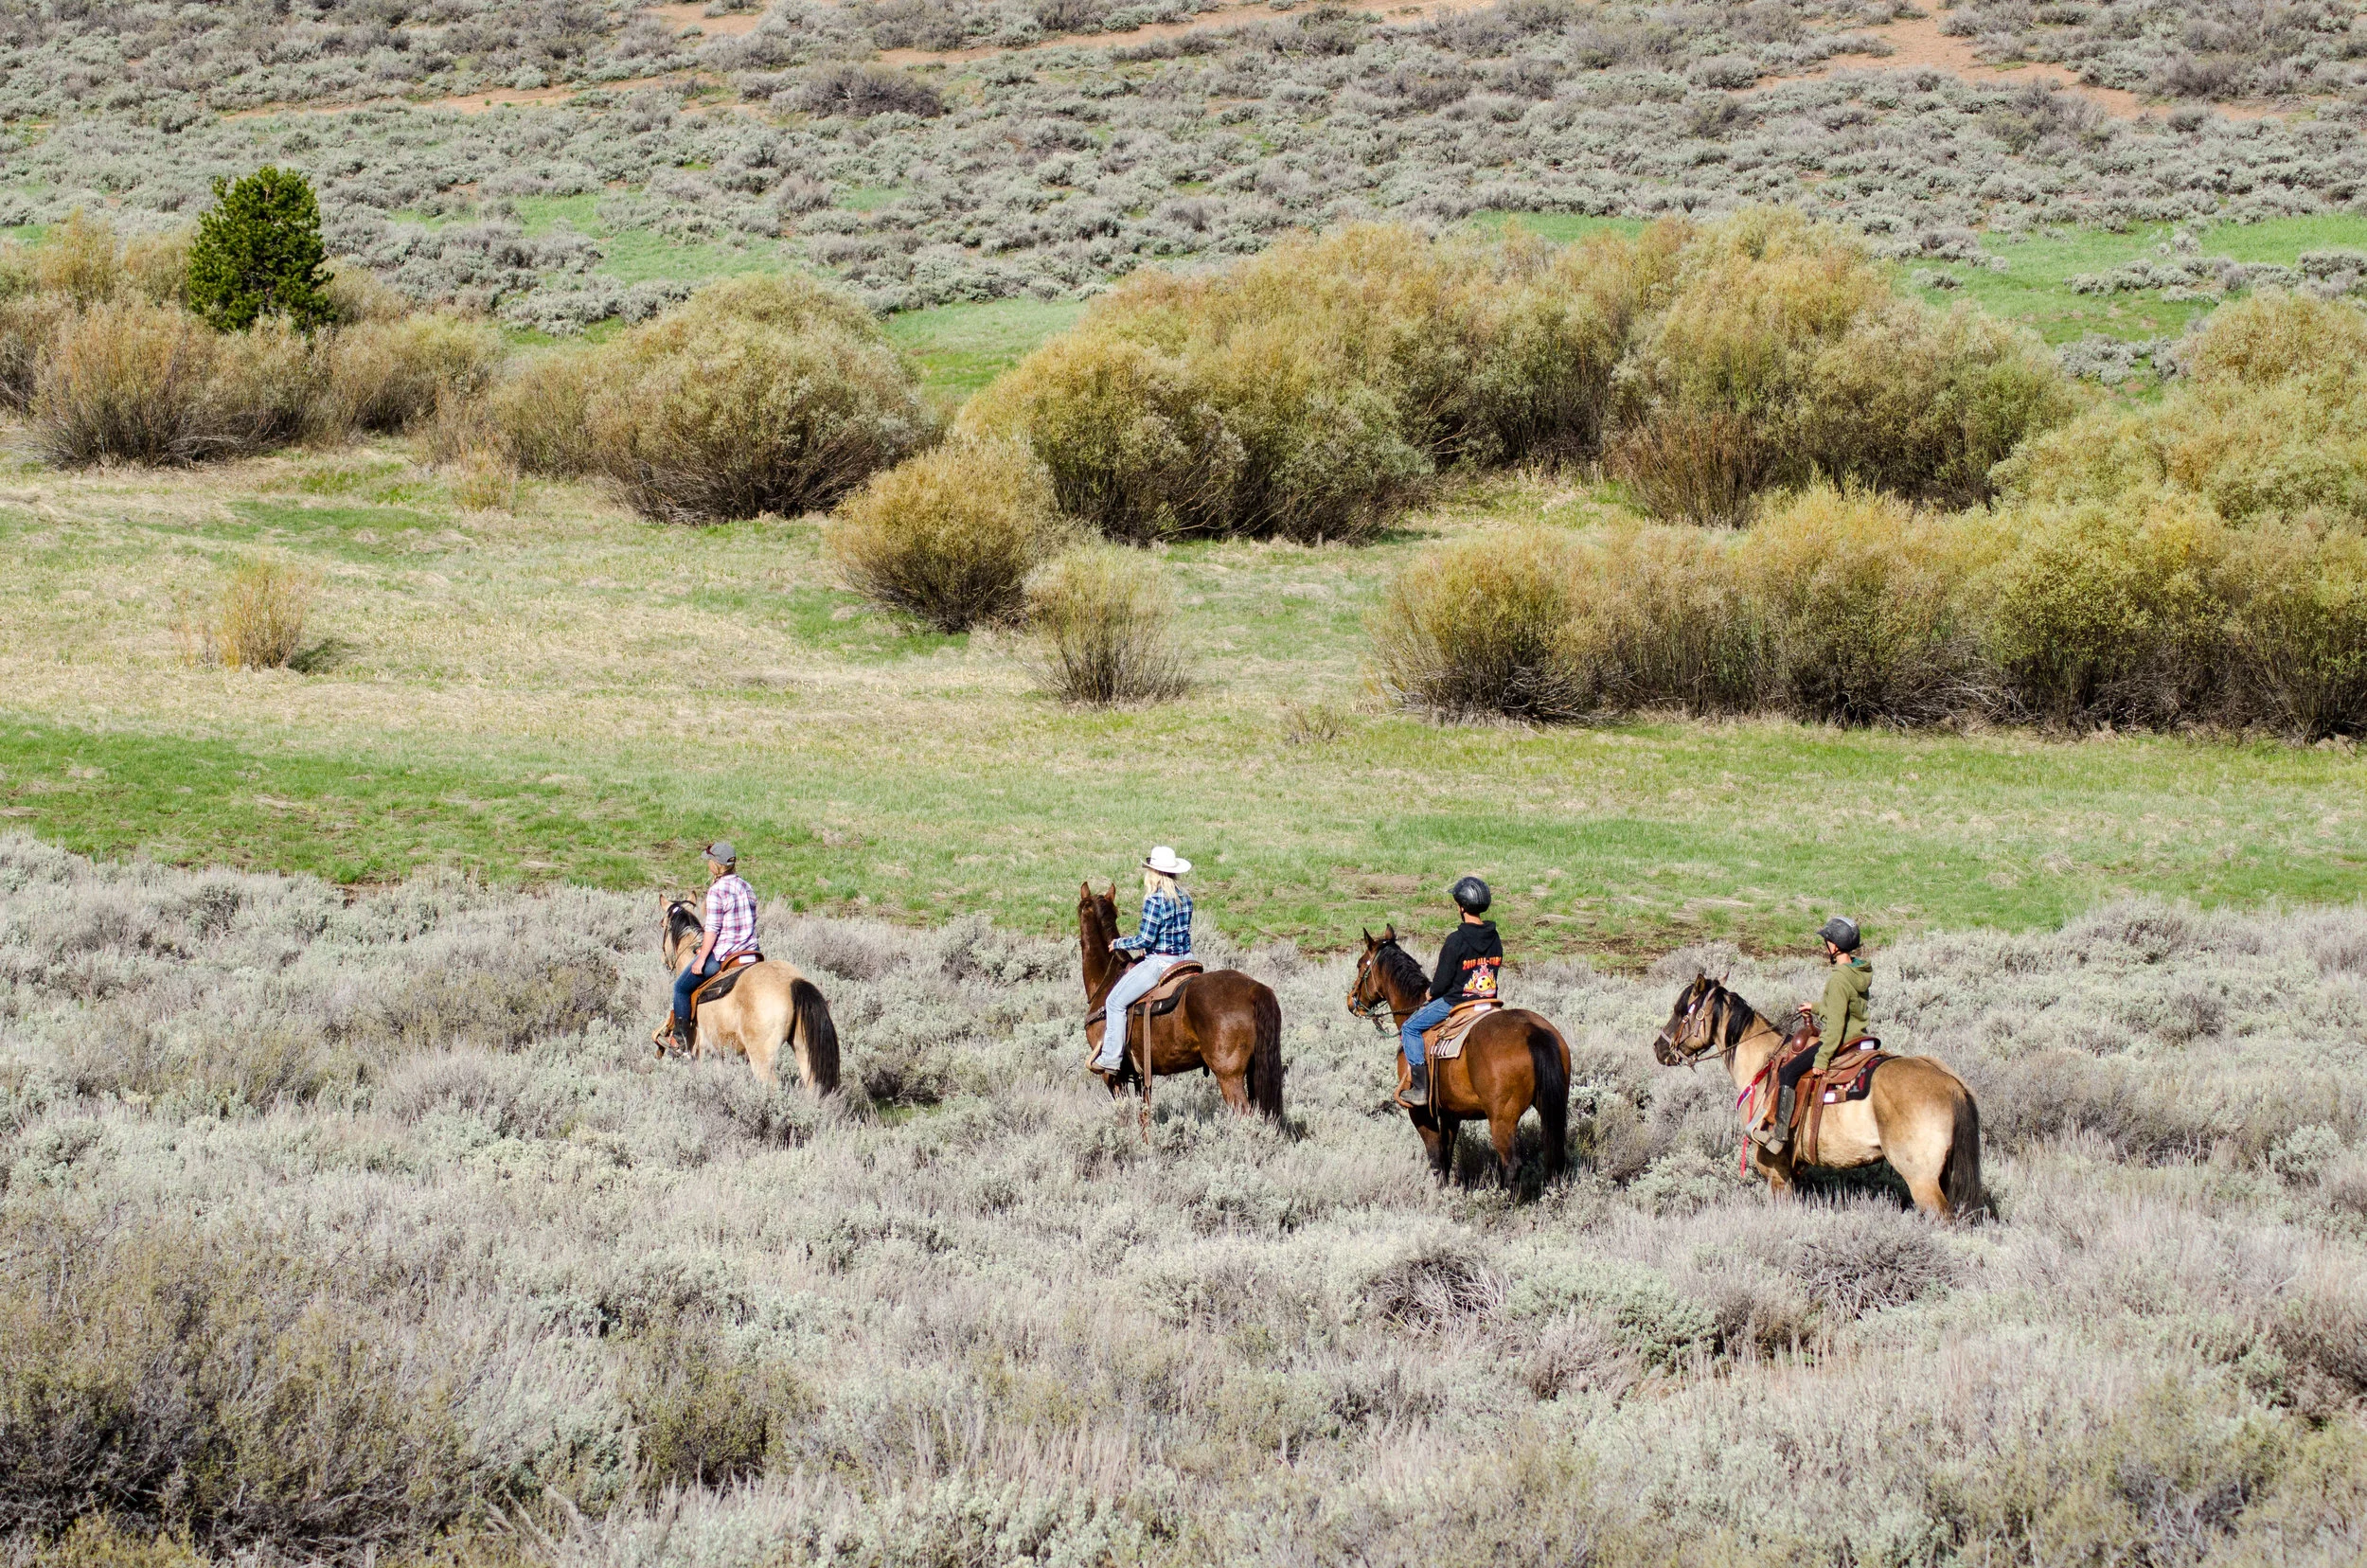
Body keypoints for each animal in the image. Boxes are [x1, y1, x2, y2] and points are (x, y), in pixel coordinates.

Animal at [658, 898, 840, 1092]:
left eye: (662, 924)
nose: (664, 960)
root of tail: (792, 982)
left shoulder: (696, 1051)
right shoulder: (718, 1053)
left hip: (762, 1058)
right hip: (803, 1051)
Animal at [1077, 883, 1284, 1119]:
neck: (1108, 979)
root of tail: (1253, 989)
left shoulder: (1113, 1077)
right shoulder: (1141, 1075)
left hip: (1229, 1076)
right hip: (1253, 1071)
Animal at [1349, 926, 1569, 1187]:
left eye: (1360, 964)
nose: (1351, 1001)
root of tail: (1534, 1032)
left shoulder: (1420, 1112)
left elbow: (1435, 1157)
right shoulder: (1451, 1112)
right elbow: (1447, 1154)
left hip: (1502, 1119)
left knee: (1512, 1164)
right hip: (1551, 1107)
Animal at [1651, 972, 1983, 1219]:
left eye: (1681, 1011)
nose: (1659, 1047)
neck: (1762, 1063)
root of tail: (1952, 1085)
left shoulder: (1775, 1170)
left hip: (1923, 1182)